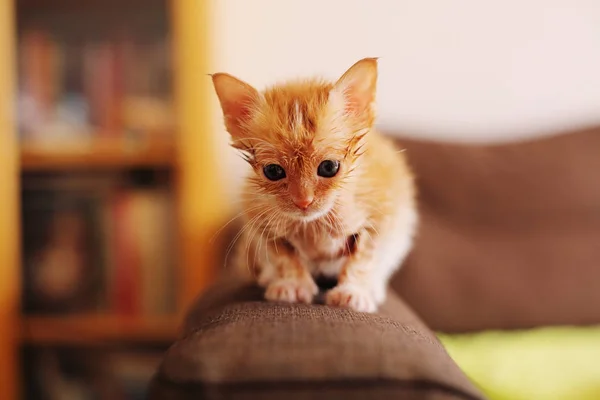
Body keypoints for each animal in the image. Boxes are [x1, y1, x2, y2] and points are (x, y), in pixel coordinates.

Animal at [212, 57, 418, 312]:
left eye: (329, 167)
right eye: (273, 171)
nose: (303, 201)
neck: (313, 226)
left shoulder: (383, 215)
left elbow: (364, 257)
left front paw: (353, 290)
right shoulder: (259, 218)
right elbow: (282, 255)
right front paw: (292, 284)